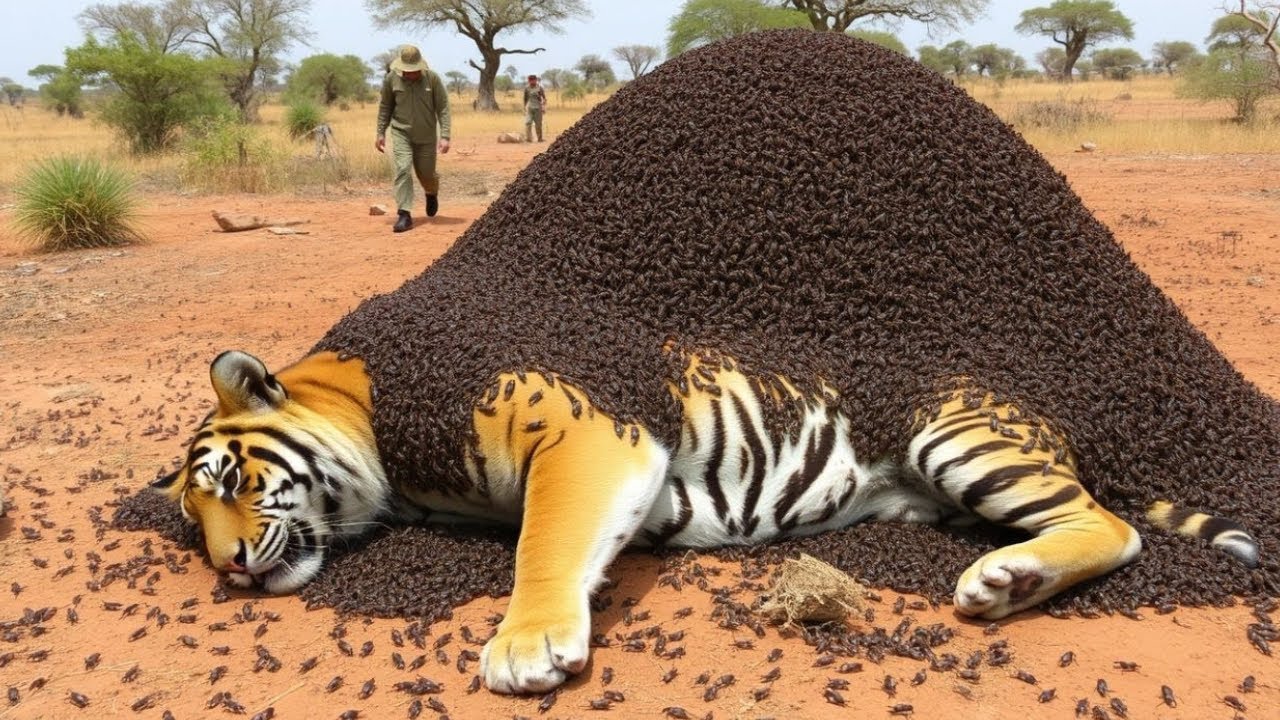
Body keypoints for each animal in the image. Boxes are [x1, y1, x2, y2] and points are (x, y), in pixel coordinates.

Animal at [154, 344, 1260, 695]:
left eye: (232, 480)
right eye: (193, 518)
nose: (230, 569)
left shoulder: (586, 434)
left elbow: (544, 540)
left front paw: (526, 644)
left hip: (962, 437)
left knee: (1112, 528)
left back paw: (1005, 578)